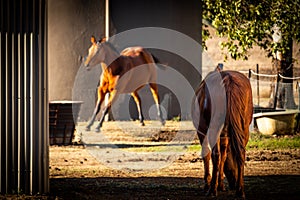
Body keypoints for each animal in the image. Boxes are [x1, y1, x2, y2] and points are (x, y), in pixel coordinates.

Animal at [192, 69, 253, 198]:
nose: (233, 182)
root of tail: (228, 81)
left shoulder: (201, 132)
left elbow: (207, 154)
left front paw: (208, 184)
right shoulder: (225, 136)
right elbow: (224, 157)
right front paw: (220, 184)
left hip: (213, 129)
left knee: (216, 155)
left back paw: (212, 190)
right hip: (244, 129)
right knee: (240, 153)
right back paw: (240, 190)